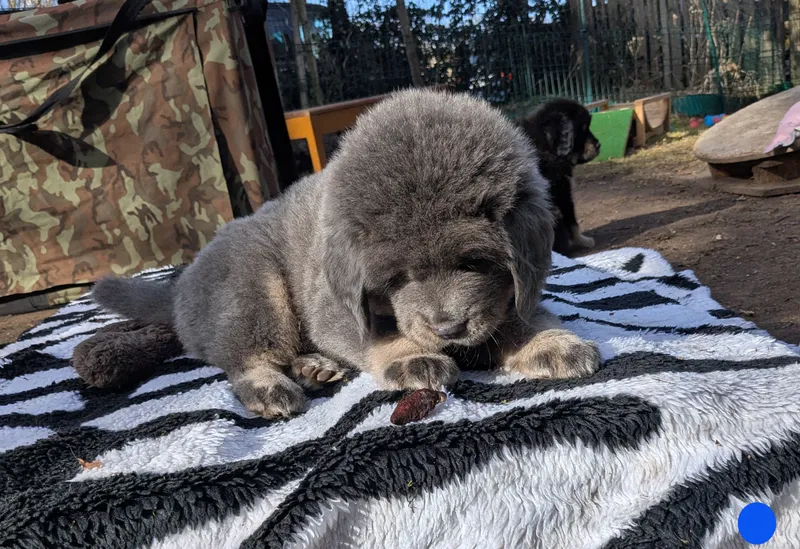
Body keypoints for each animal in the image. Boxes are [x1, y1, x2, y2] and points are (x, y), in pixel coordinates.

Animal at [519, 98, 600, 256]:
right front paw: (583, 241)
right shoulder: (562, 190)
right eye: (583, 128)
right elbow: (572, 221)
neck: (546, 145)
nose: (598, 145)